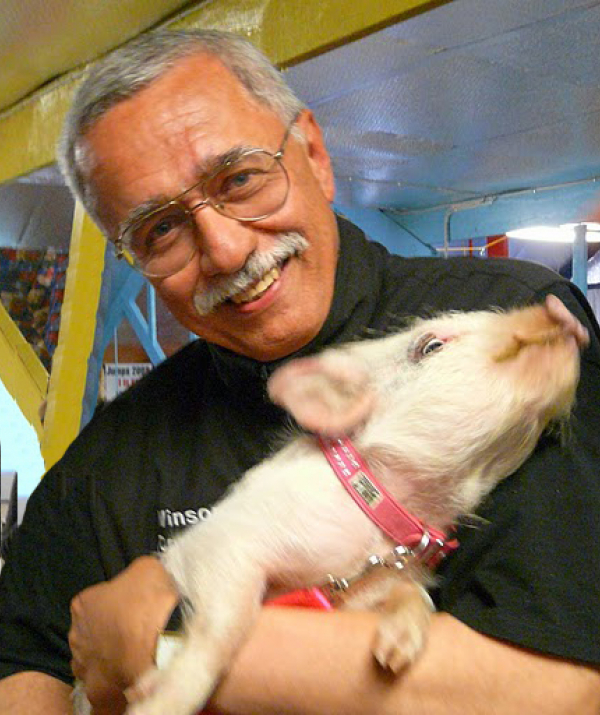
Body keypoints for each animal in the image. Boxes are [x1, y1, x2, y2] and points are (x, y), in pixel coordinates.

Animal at [118, 296, 585, 715]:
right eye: (431, 346)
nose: (554, 305)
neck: (374, 542)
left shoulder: (370, 591)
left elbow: (416, 595)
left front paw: (391, 658)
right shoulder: (220, 544)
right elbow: (225, 623)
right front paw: (148, 703)